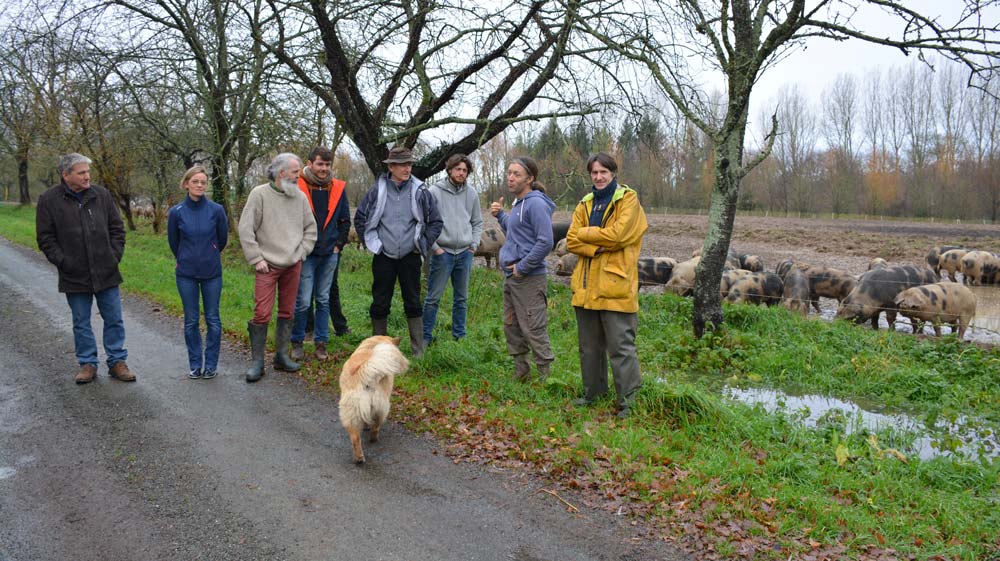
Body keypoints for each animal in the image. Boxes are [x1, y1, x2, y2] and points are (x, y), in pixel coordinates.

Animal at [340, 334, 410, 462]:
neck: (371, 346)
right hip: (382, 408)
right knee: (376, 426)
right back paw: (373, 439)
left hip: (351, 413)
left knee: (355, 438)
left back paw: (359, 458)